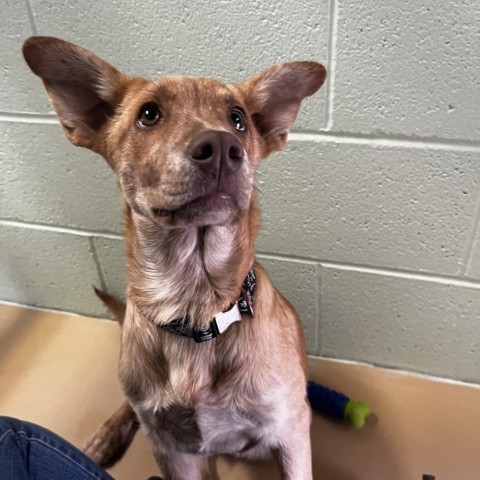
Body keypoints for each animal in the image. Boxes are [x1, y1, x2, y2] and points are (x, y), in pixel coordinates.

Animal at [23, 35, 326, 478]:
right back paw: (107, 434)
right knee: (131, 405)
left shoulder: (291, 431)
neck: (196, 306)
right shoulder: (175, 451)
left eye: (238, 119)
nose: (222, 147)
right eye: (149, 114)